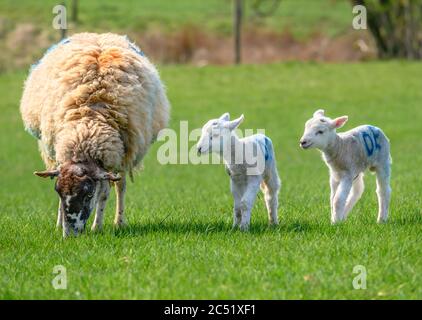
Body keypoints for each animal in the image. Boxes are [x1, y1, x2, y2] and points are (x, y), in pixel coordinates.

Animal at [18, 32, 170, 236]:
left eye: (88, 194)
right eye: (58, 192)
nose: (70, 235)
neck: (88, 126)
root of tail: (100, 35)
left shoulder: (112, 158)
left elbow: (104, 194)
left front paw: (97, 226)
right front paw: (61, 223)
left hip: (123, 154)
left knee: (120, 186)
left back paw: (119, 222)